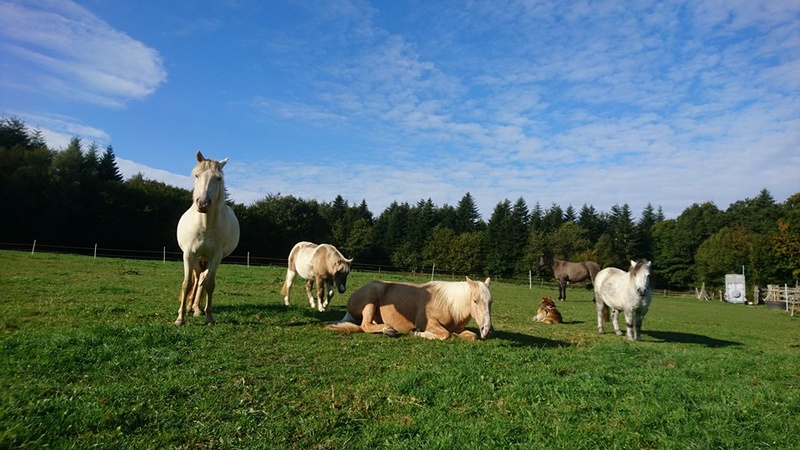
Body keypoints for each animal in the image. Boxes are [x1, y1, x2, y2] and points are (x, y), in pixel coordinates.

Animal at [174, 153, 239, 326]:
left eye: (218, 178)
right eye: (197, 175)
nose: (203, 204)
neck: (205, 226)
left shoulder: (216, 257)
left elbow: (209, 285)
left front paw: (209, 317)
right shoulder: (189, 254)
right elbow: (187, 284)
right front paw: (180, 318)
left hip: (206, 259)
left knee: (202, 280)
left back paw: (196, 309)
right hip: (197, 259)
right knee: (196, 280)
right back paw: (190, 307)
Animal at [326, 276, 494, 340]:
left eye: (490, 302)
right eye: (475, 301)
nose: (486, 329)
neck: (448, 304)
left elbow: (472, 336)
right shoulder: (428, 322)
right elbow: (445, 334)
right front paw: (417, 333)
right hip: (371, 297)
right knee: (365, 325)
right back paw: (388, 329)